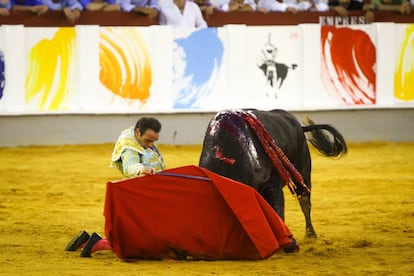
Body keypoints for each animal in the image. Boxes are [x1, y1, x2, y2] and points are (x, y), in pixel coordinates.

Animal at [197, 109, 346, 238]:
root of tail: (298, 126)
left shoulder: (272, 186)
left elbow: (277, 211)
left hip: (303, 174)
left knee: (305, 201)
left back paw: (311, 235)